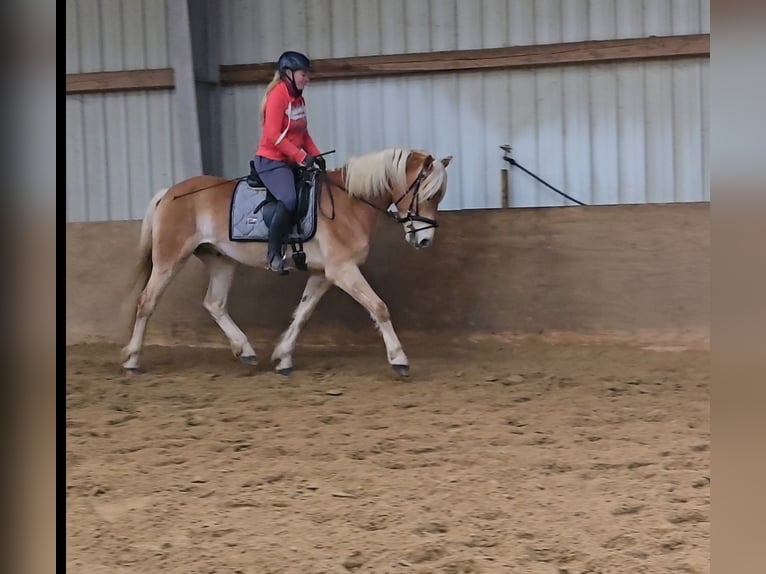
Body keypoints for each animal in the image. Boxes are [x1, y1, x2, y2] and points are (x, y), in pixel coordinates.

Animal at [122, 146, 452, 376]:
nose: (424, 240)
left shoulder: (323, 274)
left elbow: (302, 314)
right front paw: (399, 358)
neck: (349, 203)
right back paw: (132, 359)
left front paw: (283, 357)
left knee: (214, 303)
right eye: (428, 194)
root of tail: (169, 192)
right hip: (169, 258)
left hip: (221, 260)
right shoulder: (343, 270)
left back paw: (245, 350)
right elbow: (379, 307)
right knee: (147, 301)